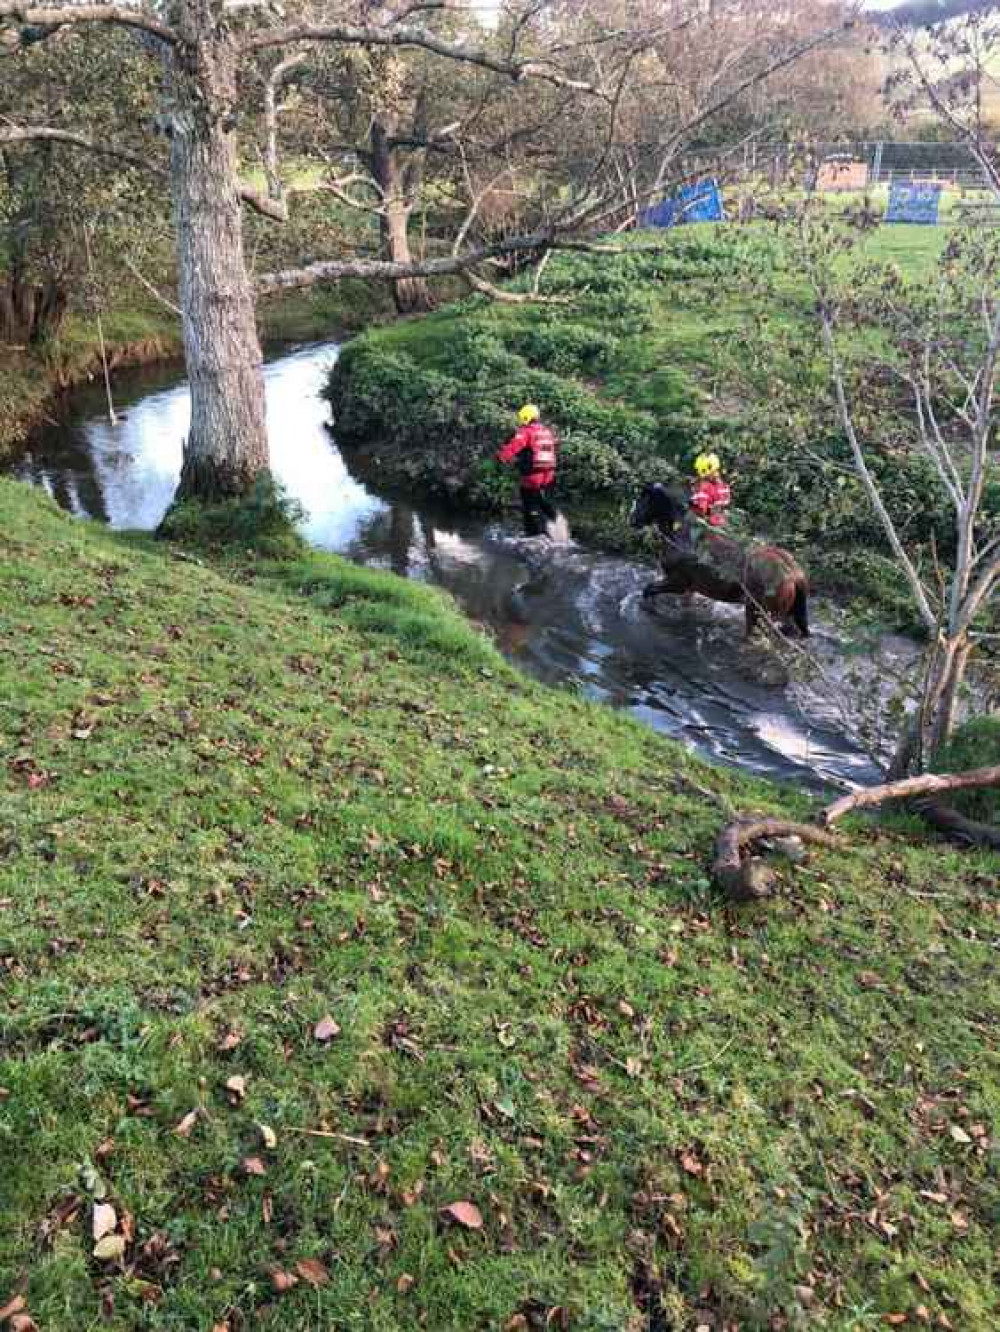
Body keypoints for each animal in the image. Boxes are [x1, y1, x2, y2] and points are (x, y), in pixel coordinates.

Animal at [628, 484, 809, 639]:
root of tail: (794, 575)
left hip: (758, 614)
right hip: (786, 615)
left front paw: (649, 607)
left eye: (644, 499)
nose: (632, 520)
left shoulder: (678, 582)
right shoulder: (689, 589)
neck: (681, 534)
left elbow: (648, 589)